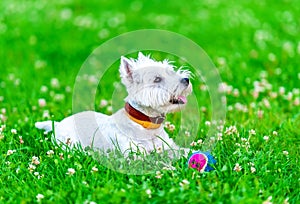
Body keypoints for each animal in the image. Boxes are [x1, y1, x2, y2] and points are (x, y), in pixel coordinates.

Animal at [35, 52, 193, 158]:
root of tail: (58, 124)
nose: (186, 80)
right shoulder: (134, 154)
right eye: (157, 79)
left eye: (170, 71)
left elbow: (181, 151)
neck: (146, 124)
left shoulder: (167, 146)